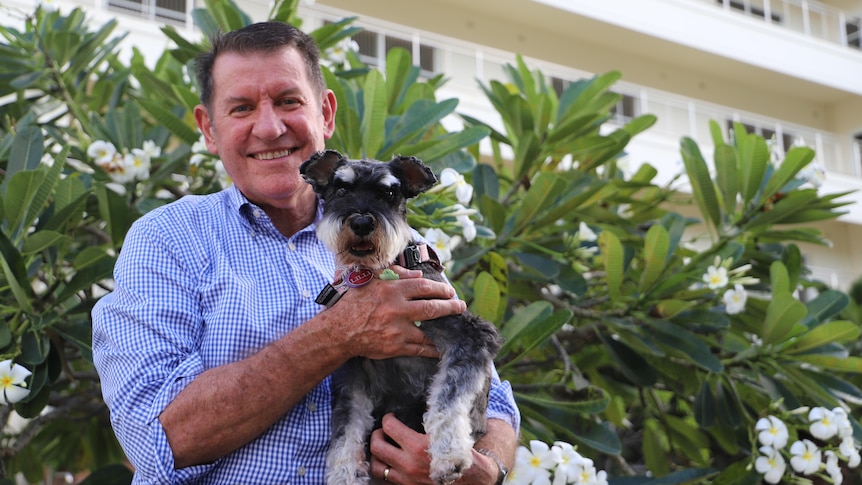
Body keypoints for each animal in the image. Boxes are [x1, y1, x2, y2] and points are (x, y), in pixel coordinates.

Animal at [302, 150, 506, 484]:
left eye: (388, 193)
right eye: (341, 189)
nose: (361, 222)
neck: (381, 270)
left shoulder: (469, 336)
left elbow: (448, 399)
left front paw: (449, 455)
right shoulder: (353, 371)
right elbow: (347, 430)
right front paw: (345, 474)